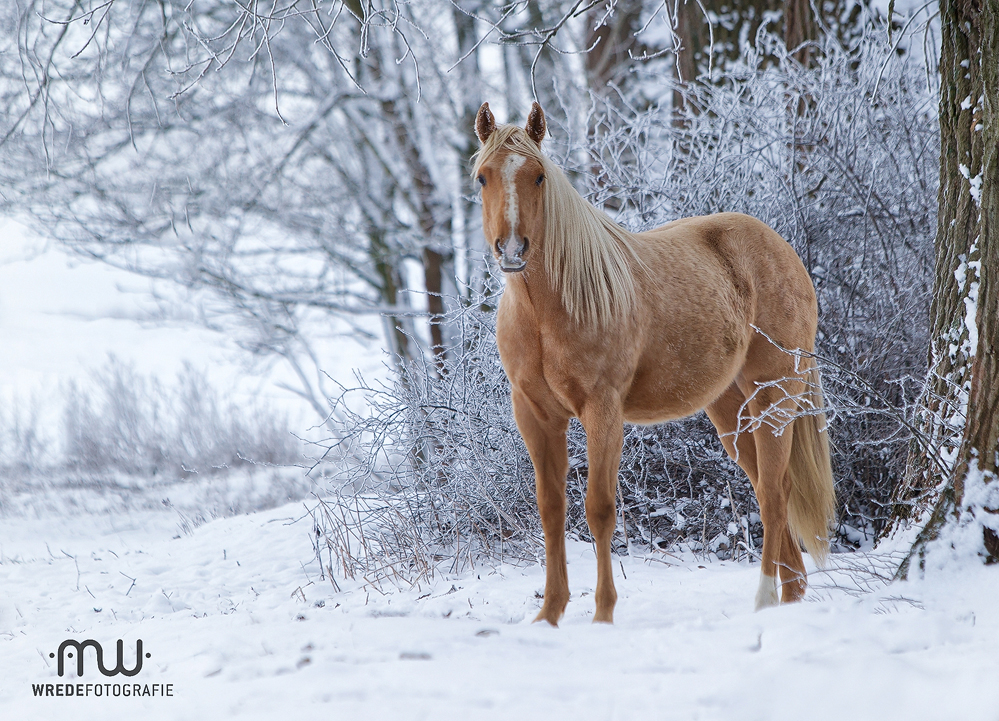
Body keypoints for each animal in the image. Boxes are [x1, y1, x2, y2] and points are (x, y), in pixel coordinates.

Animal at [476, 102, 836, 624]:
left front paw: (603, 614)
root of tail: (780, 248)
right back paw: (790, 595)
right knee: (769, 489)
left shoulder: (603, 412)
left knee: (774, 492)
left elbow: (600, 509)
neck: (549, 310)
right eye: (482, 177)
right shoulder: (536, 416)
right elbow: (551, 509)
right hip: (730, 410)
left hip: (775, 392)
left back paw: (766, 597)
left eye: (538, 176)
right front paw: (550, 614)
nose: (511, 250)